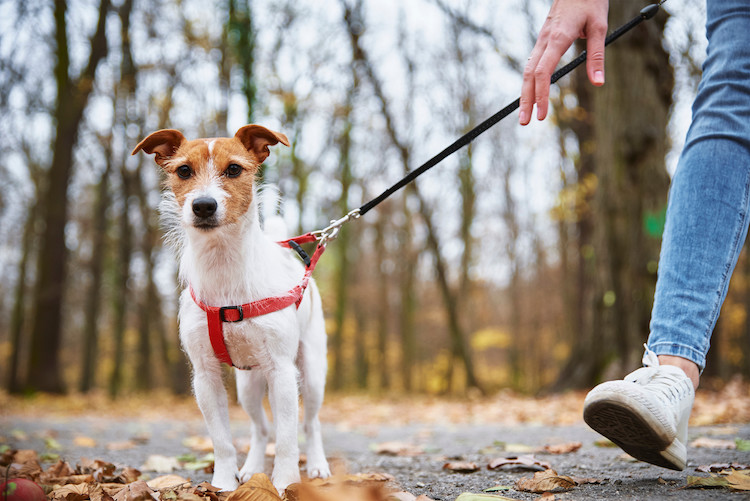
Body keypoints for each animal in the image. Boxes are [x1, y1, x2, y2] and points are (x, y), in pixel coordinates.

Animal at [133, 125, 332, 492]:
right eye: (184, 171)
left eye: (235, 169)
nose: (203, 205)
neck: (224, 268)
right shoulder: (205, 376)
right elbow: (222, 440)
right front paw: (223, 483)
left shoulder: (283, 372)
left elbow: (287, 438)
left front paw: (284, 483)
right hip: (248, 386)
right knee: (260, 427)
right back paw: (251, 468)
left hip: (311, 373)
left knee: (310, 424)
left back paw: (317, 465)